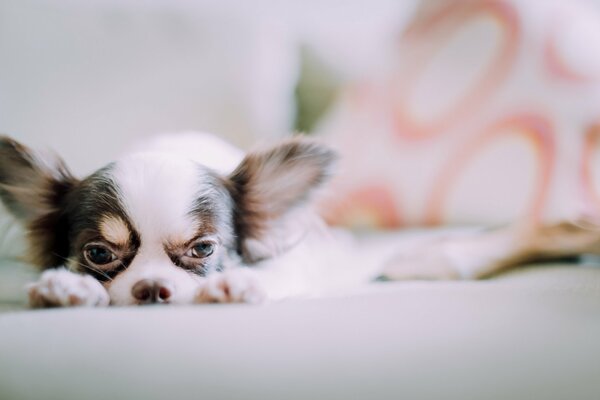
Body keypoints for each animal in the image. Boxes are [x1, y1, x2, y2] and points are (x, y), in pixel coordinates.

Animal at [1, 133, 600, 308]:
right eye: (99, 255)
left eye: (204, 250)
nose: (151, 289)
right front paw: (64, 287)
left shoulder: (300, 260)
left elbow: (273, 274)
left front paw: (235, 285)